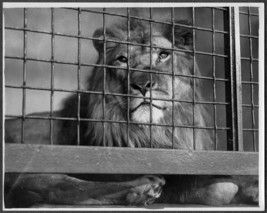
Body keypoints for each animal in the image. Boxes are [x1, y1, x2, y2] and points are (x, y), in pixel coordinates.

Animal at [4, 18, 260, 208]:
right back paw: (141, 188)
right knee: (59, 185)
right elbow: (218, 185)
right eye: (123, 59)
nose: (143, 85)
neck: (154, 131)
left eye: (163, 55)